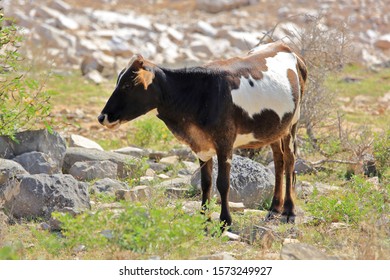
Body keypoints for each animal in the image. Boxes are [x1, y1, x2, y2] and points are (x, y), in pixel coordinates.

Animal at [98, 40, 308, 226]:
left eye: (127, 85)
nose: (102, 117)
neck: (200, 94)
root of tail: (285, 47)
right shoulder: (201, 146)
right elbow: (206, 183)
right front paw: (204, 221)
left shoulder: (225, 143)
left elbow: (222, 183)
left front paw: (225, 222)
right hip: (275, 128)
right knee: (279, 161)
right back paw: (273, 210)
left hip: (293, 123)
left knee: (289, 161)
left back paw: (289, 212)